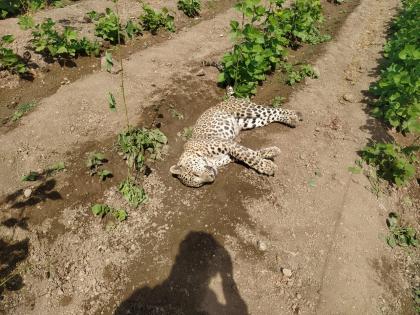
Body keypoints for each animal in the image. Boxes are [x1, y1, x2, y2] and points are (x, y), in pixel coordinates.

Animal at [171, 86, 302, 188]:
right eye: (199, 183)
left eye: (195, 174)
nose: (212, 178)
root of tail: (229, 99)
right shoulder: (228, 155)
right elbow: (251, 153)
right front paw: (272, 152)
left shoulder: (228, 144)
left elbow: (247, 156)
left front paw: (268, 167)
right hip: (251, 121)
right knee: (271, 116)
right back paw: (291, 119)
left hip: (248, 110)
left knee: (273, 109)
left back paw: (295, 115)